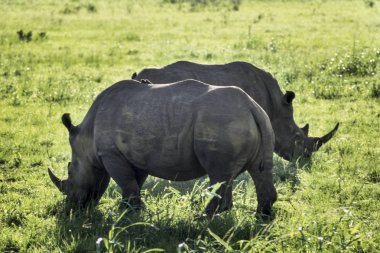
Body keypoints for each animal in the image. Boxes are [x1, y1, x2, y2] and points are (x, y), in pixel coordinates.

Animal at [49, 79, 278, 217]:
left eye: (71, 172)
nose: (73, 207)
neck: (86, 138)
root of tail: (251, 107)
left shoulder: (111, 154)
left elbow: (127, 184)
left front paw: (130, 215)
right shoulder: (134, 156)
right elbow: (134, 184)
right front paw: (129, 212)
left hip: (222, 120)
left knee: (218, 174)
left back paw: (202, 219)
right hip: (258, 121)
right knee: (256, 171)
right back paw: (262, 217)